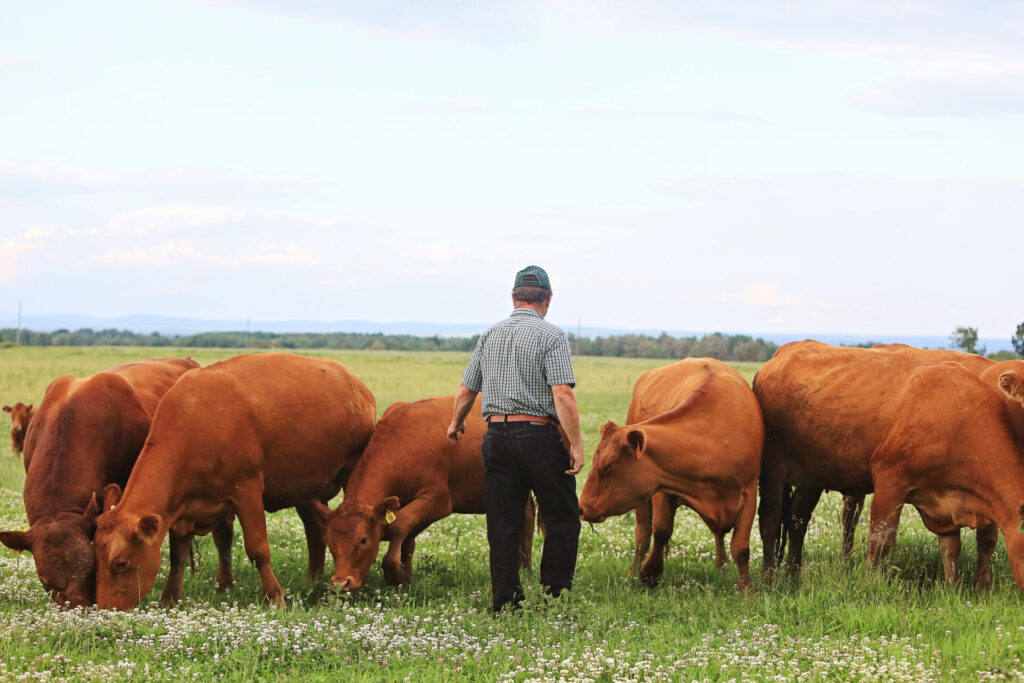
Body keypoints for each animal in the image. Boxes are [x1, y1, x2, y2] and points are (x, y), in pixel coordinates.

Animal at [93, 352, 376, 610]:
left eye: (121, 563)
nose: (106, 610)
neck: (194, 423)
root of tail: (354, 382)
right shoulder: (182, 509)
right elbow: (177, 556)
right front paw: (169, 599)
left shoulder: (247, 492)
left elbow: (258, 549)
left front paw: (276, 598)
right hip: (306, 489)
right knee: (314, 530)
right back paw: (313, 581)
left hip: (350, 471)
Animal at [323, 395, 540, 593]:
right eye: (329, 542)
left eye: (363, 540)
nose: (341, 583)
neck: (403, 443)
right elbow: (407, 538)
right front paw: (406, 574)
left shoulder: (438, 500)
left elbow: (399, 525)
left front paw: (395, 573)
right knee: (526, 517)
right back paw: (524, 567)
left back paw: (525, 570)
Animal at [581, 358, 765, 593]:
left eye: (607, 466)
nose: (581, 507)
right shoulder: (661, 488)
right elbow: (660, 531)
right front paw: (649, 574)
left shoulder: (749, 494)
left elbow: (741, 548)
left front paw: (747, 590)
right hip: (642, 500)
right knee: (642, 534)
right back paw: (633, 572)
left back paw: (720, 567)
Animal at [757, 339, 1024, 589]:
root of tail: (785, 350)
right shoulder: (890, 480)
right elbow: (881, 541)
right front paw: (869, 583)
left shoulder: (947, 499)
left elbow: (953, 547)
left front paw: (955, 589)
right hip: (773, 466)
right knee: (770, 519)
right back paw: (769, 580)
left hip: (812, 474)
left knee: (797, 519)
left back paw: (793, 573)